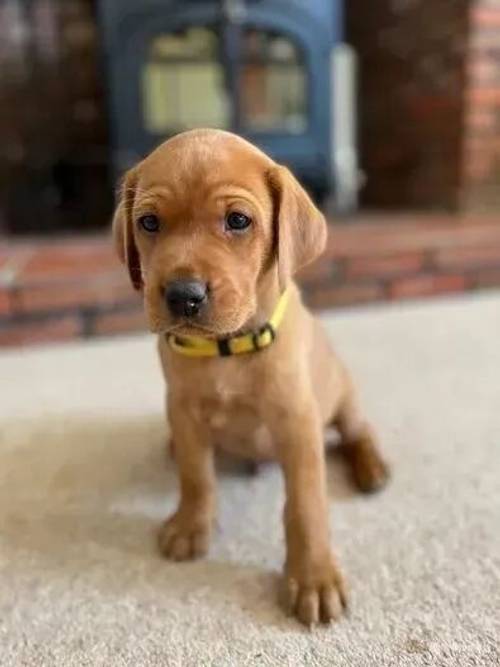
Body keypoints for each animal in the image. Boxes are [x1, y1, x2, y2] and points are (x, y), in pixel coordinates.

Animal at [111, 129, 388, 628]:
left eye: (238, 220)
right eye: (149, 223)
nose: (183, 295)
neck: (228, 348)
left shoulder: (298, 422)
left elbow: (306, 506)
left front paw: (313, 577)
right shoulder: (183, 410)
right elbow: (196, 475)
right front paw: (191, 525)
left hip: (343, 394)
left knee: (357, 432)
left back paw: (371, 467)